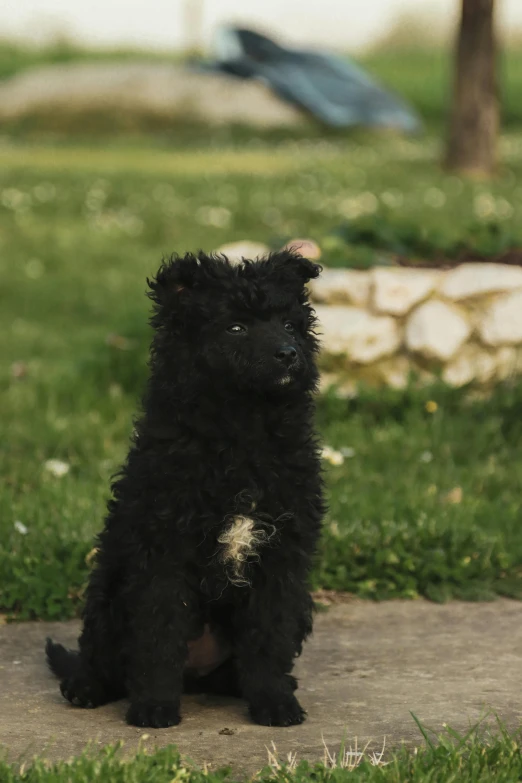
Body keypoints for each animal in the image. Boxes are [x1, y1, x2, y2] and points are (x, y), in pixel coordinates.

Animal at [47, 251, 324, 728]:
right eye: (236, 327)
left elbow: (269, 636)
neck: (242, 432)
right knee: (102, 658)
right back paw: (84, 687)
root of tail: (198, 675)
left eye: (290, 325)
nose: (289, 354)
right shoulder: (163, 552)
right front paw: (154, 708)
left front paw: (274, 703)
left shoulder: (282, 557)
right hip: (107, 596)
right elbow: (158, 636)